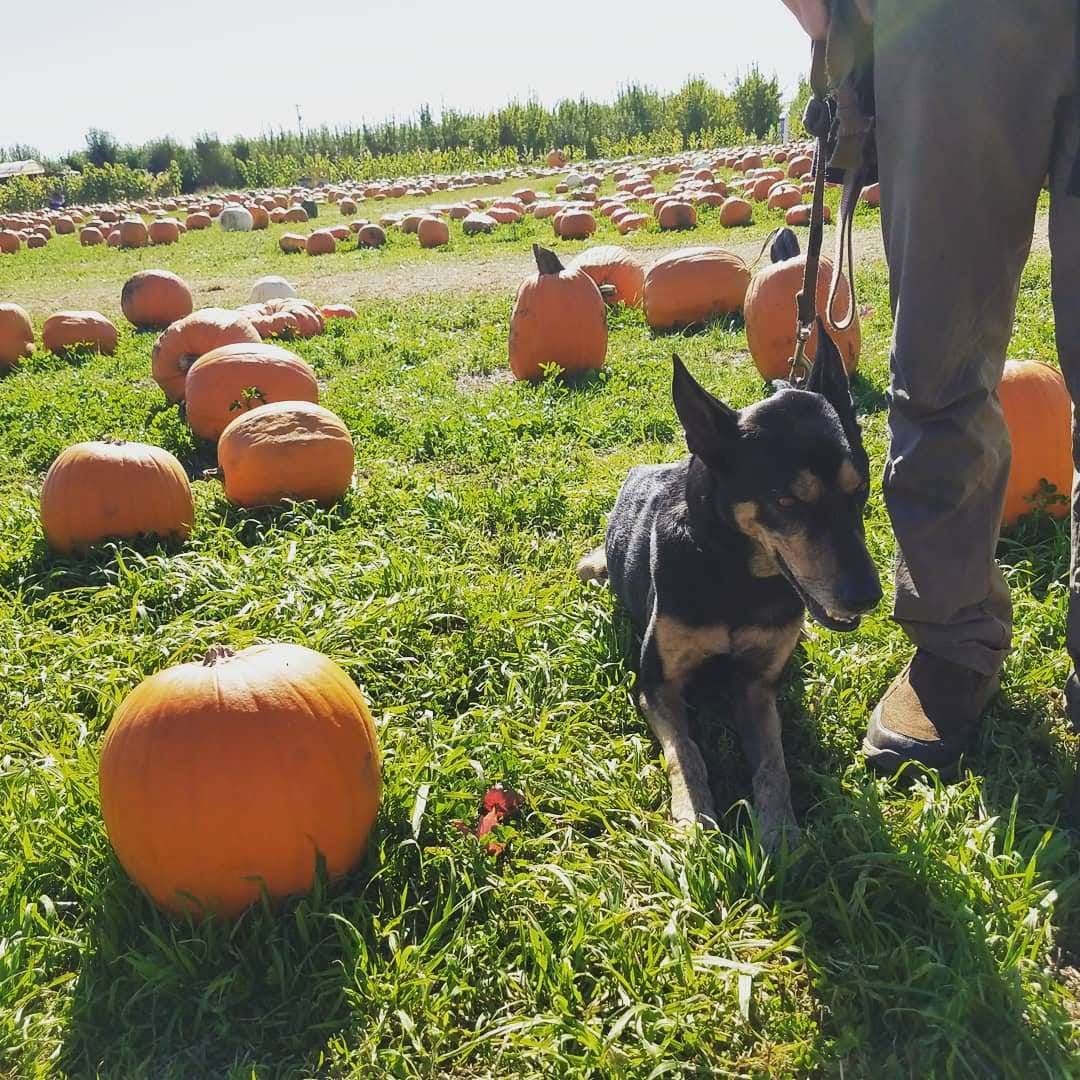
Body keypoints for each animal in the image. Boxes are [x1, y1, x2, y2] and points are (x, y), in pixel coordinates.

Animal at [578, 324, 881, 846]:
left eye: (859, 487)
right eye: (785, 501)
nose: (868, 596)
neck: (737, 576)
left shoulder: (756, 686)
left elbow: (773, 762)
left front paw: (780, 830)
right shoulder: (657, 683)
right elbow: (686, 752)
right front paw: (694, 817)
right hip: (589, 565)